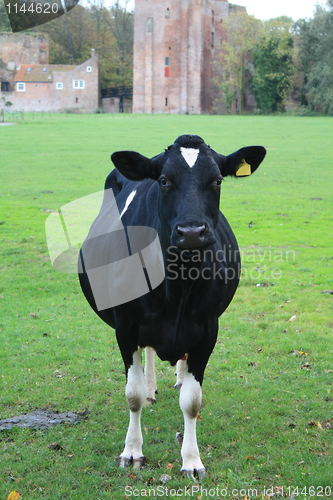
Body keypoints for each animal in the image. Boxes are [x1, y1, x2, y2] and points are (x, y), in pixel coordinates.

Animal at [78, 135, 264, 478]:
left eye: (217, 180)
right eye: (164, 180)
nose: (191, 232)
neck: (177, 288)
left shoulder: (207, 330)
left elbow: (192, 401)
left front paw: (191, 460)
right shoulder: (126, 327)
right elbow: (133, 394)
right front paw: (132, 451)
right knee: (148, 356)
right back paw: (152, 388)